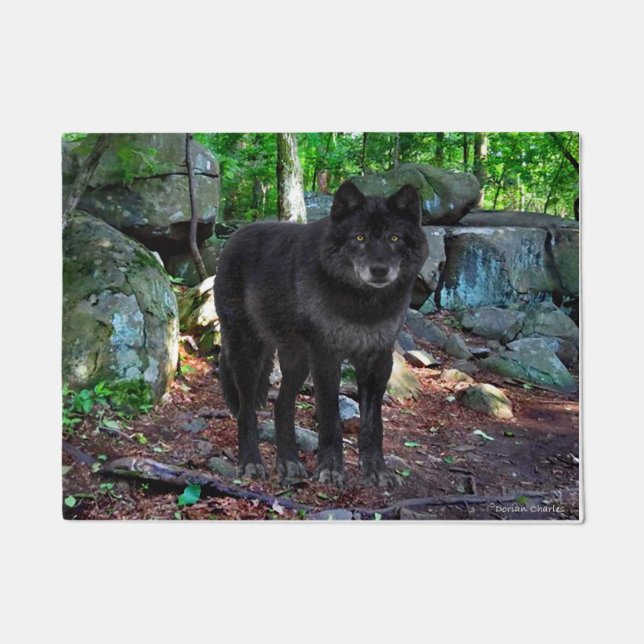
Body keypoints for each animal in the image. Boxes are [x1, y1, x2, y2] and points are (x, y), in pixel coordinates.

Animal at [214, 182, 429, 487]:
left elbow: (373, 425)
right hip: (249, 355)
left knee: (282, 407)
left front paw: (376, 471)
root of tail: (235, 235)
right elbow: (330, 417)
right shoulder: (327, 357)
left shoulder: (378, 361)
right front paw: (330, 469)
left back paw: (289, 463)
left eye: (394, 238)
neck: (363, 306)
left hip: (297, 361)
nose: (379, 270)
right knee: (246, 412)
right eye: (360, 237)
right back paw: (252, 463)